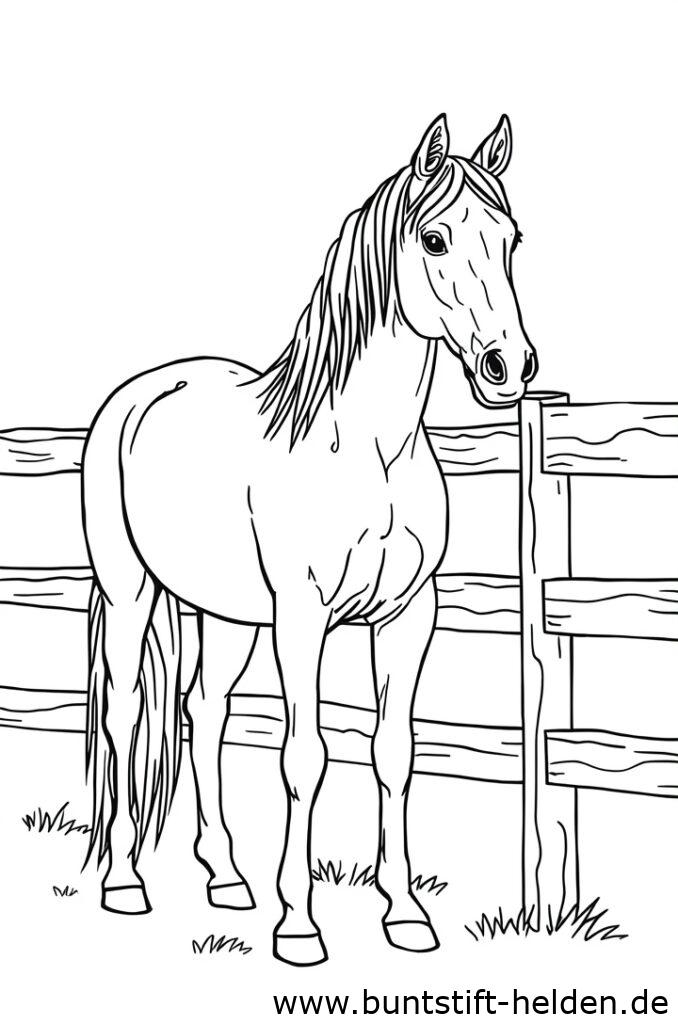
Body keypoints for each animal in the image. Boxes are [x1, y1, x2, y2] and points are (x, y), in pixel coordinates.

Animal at [82, 112, 537, 966]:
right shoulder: (303, 617)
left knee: (205, 713)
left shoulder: (407, 618)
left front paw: (405, 915)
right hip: (129, 594)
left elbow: (394, 753)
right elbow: (306, 756)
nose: (510, 365)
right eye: (434, 239)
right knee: (127, 713)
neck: (370, 449)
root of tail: (143, 390)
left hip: (226, 616)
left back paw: (228, 879)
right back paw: (125, 883)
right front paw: (298, 925)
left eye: (511, 239)